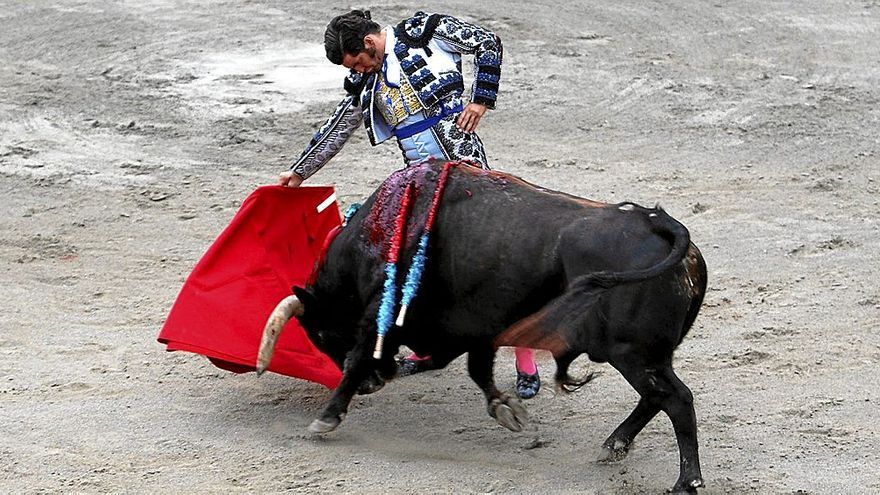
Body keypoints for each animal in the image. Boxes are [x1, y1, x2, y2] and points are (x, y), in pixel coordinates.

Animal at [256, 162, 708, 492]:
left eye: (321, 334)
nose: (373, 385)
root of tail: (659, 222)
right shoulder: (475, 329)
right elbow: (474, 370)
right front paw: (509, 410)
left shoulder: (379, 314)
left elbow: (357, 360)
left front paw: (326, 418)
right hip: (648, 355)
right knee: (656, 397)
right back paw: (614, 446)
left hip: (631, 352)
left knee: (675, 399)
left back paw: (687, 480)